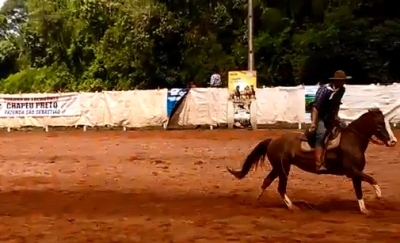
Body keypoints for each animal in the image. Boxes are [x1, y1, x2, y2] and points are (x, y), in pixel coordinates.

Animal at [228, 108, 396, 215]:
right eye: (380, 125)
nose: (393, 141)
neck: (352, 140)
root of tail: (272, 140)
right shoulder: (352, 171)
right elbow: (372, 179)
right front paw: (378, 194)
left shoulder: (356, 174)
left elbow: (359, 192)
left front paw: (364, 210)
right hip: (283, 169)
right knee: (280, 188)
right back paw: (292, 207)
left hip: (278, 168)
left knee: (267, 181)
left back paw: (258, 200)